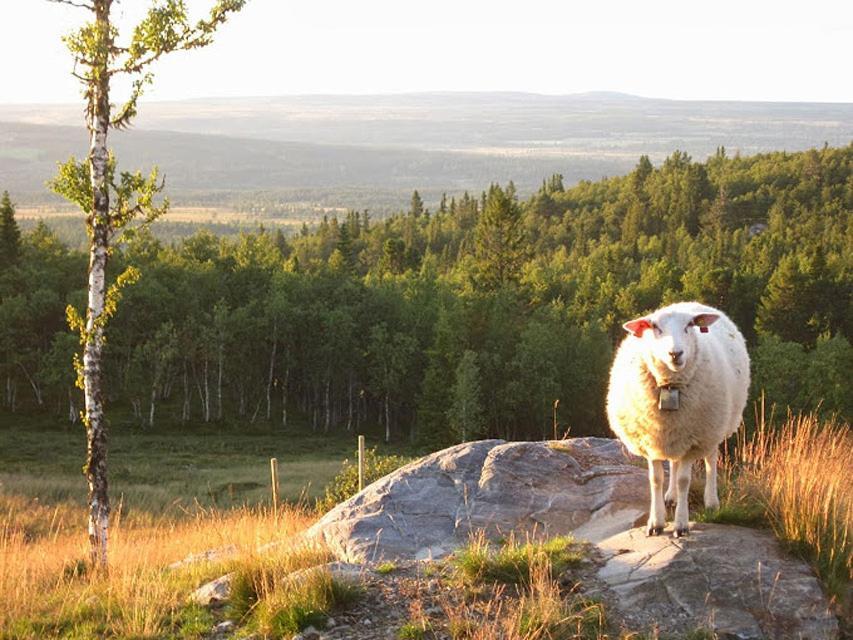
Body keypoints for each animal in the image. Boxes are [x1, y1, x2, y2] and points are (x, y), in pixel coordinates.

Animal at [604, 300, 744, 536]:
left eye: (689, 326)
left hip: (713, 427)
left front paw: (681, 524)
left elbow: (684, 480)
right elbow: (656, 479)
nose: (675, 353)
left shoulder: (694, 440)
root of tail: (689, 302)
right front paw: (655, 522)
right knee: (674, 461)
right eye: (655, 327)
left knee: (710, 460)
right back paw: (670, 497)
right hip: (676, 434)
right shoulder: (650, 439)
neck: (670, 386)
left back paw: (711, 500)